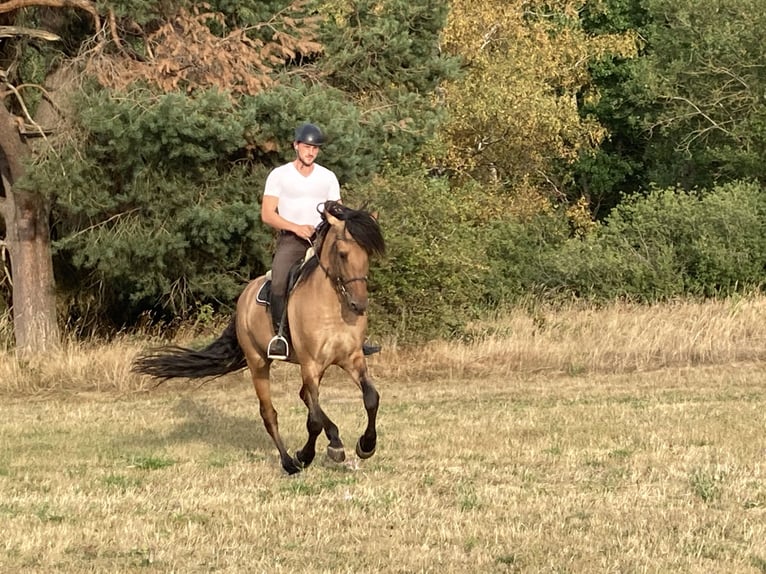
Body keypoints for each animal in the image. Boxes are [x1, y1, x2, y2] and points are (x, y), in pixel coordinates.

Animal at [134, 202, 390, 476]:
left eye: (368, 254)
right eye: (342, 253)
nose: (359, 305)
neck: (331, 307)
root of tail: (244, 297)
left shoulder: (352, 358)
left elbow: (371, 398)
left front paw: (366, 445)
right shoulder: (310, 365)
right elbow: (315, 418)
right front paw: (320, 451)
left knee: (304, 399)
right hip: (258, 363)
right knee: (270, 413)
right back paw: (289, 462)